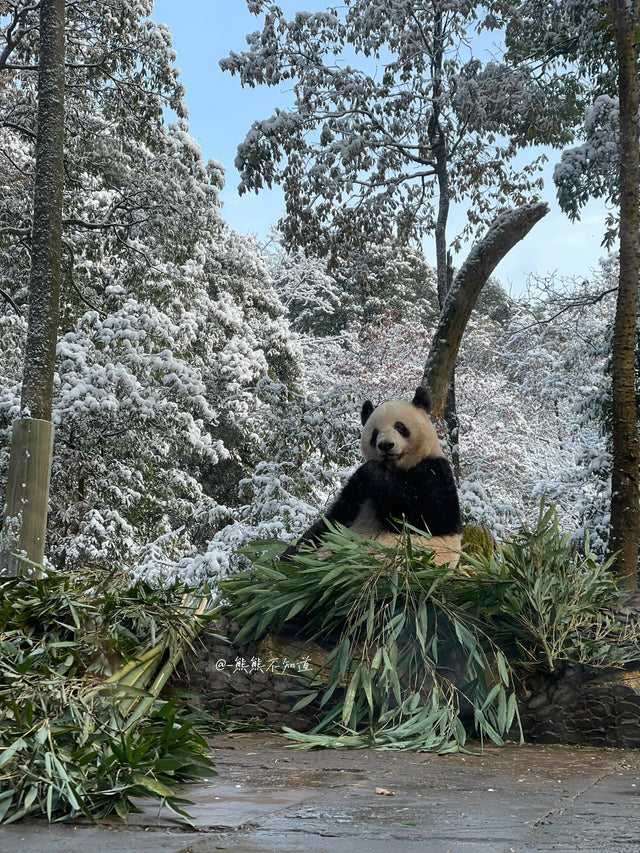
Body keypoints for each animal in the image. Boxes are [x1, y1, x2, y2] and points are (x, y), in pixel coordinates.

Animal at [284, 386, 463, 567]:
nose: (386, 445)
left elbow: (424, 517)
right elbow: (333, 519)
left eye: (400, 426)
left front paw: (372, 470)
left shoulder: (435, 471)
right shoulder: (357, 496)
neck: (395, 468)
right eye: (375, 433)